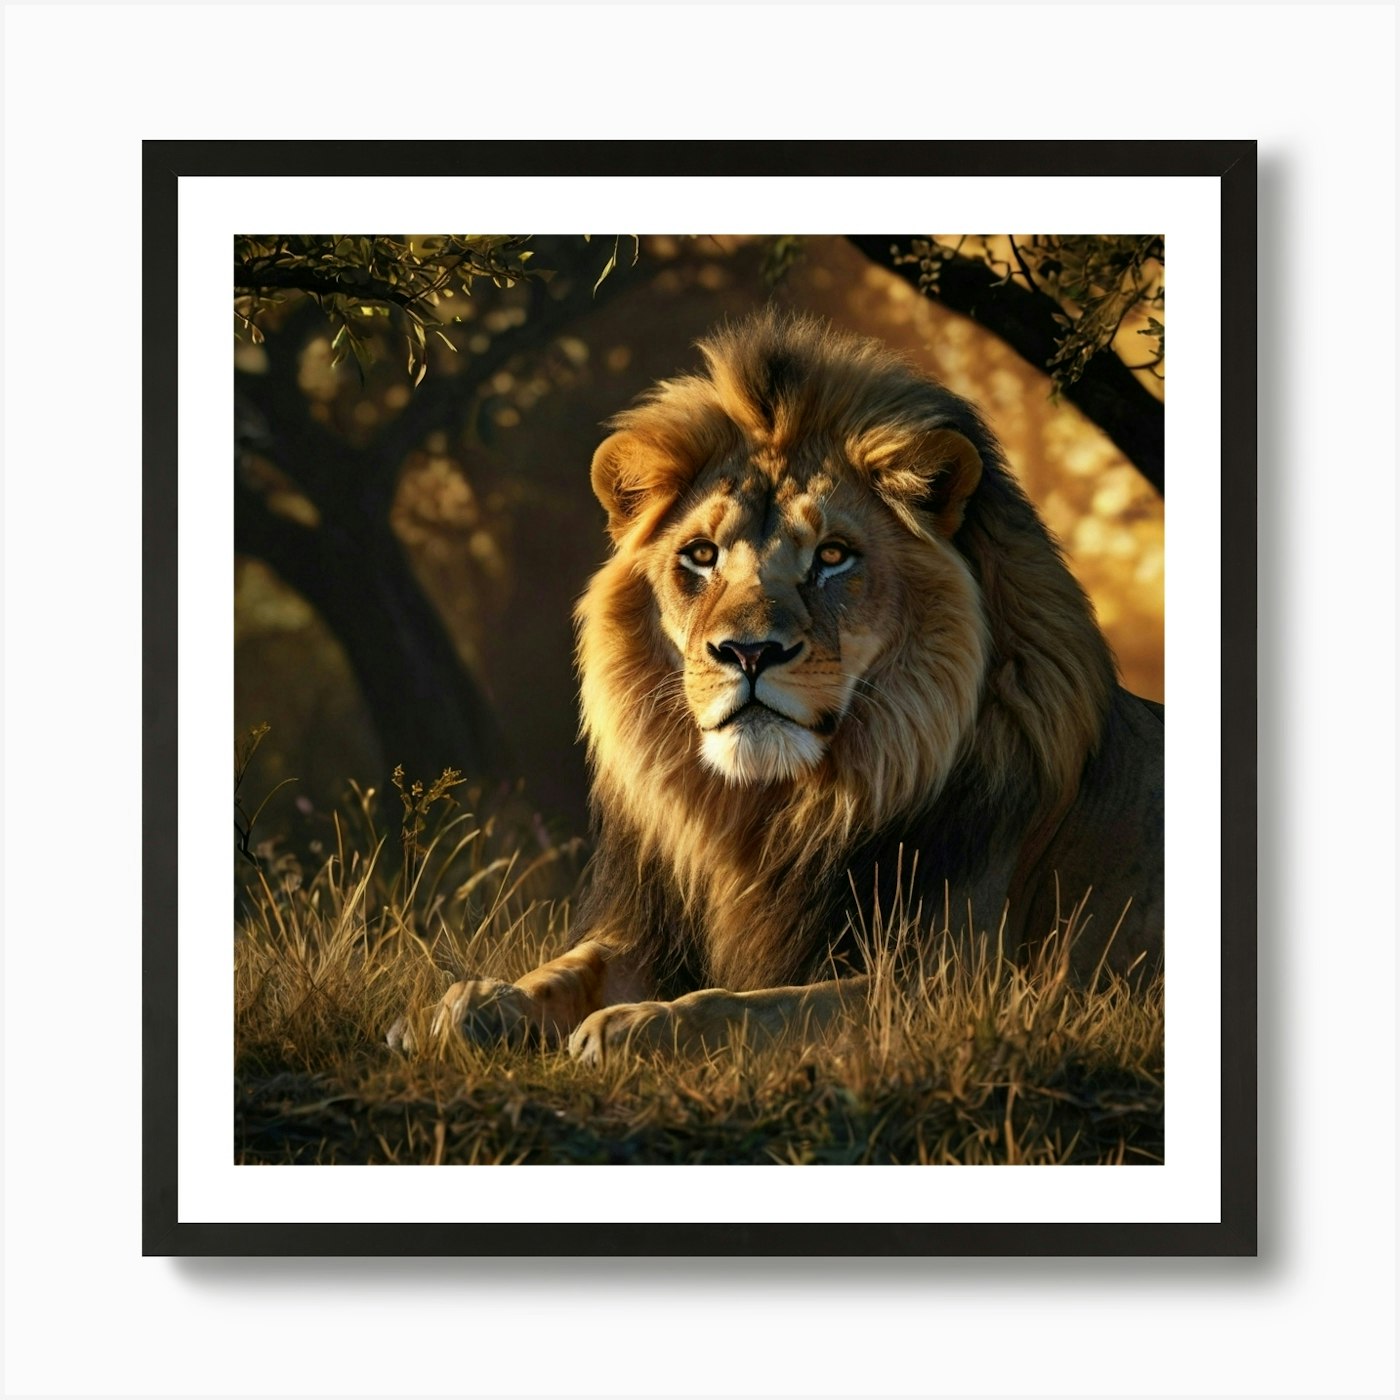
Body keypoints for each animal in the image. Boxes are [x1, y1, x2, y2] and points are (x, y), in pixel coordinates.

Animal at [418, 311, 1163, 1065]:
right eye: (701, 555)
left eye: (833, 556)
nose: (748, 652)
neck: (769, 814)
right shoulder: (655, 935)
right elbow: (566, 969)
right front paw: (471, 1006)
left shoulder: (952, 987)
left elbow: (757, 1006)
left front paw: (637, 1026)